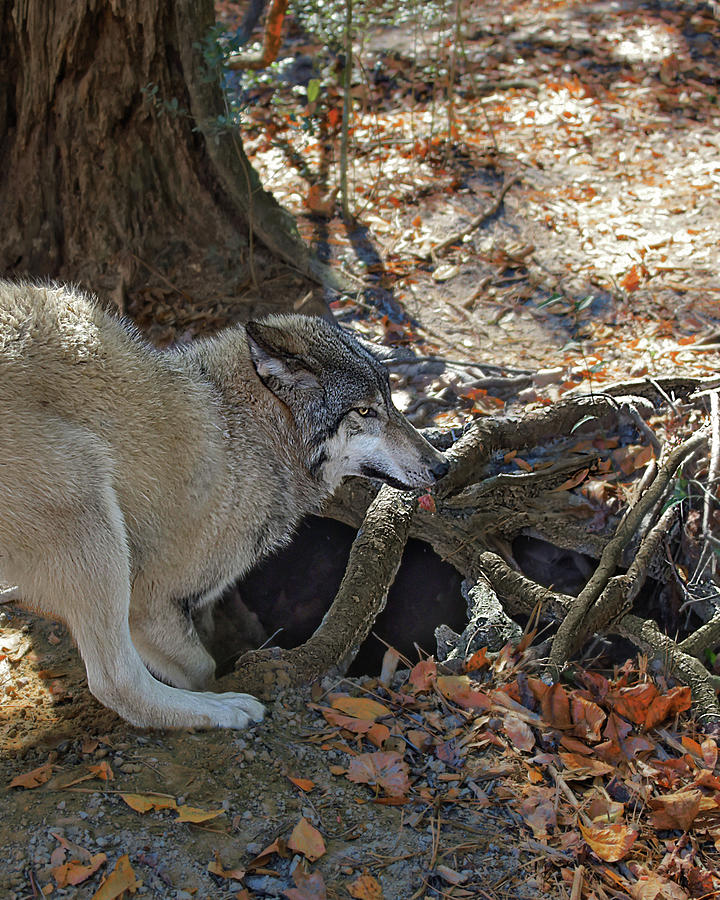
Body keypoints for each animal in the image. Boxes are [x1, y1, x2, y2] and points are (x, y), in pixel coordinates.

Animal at [0, 282, 450, 732]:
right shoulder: (150, 601)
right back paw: (223, 710)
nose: (442, 466)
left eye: (391, 401)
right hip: (87, 501)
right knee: (116, 682)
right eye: (364, 411)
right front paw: (217, 692)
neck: (247, 431)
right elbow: (204, 668)